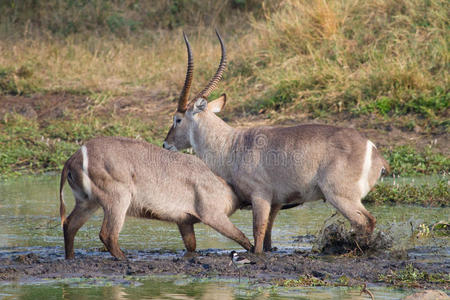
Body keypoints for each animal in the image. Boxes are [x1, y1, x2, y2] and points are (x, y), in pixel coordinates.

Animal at [60, 126, 255, 258]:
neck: (224, 184)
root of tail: (73, 158)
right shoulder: (213, 215)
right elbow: (241, 236)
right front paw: (255, 252)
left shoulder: (184, 221)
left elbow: (191, 246)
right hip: (118, 199)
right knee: (107, 234)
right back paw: (125, 259)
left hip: (87, 202)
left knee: (69, 224)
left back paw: (70, 258)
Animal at [163, 31, 388, 254]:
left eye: (177, 119)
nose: (166, 144)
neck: (231, 145)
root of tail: (373, 150)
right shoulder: (277, 202)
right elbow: (268, 237)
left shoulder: (260, 196)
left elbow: (258, 234)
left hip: (340, 196)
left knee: (366, 221)